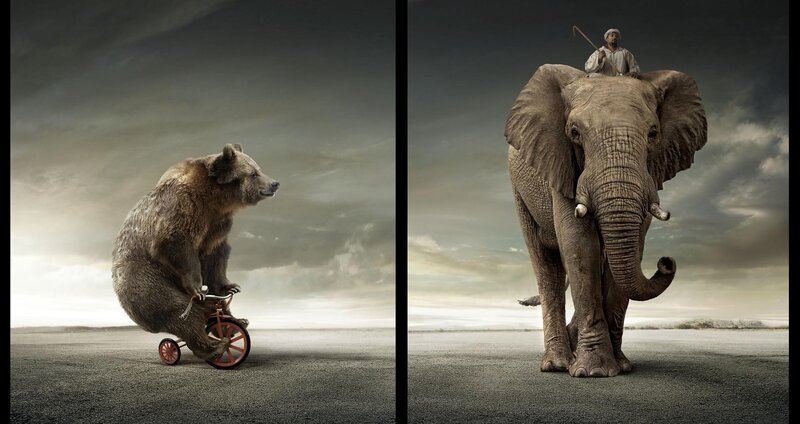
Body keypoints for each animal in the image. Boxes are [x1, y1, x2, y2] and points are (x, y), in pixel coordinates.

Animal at [112, 143, 279, 360]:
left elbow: (216, 255)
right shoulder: (182, 207)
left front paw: (230, 287)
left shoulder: (216, 224)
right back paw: (213, 346)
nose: (275, 183)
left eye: (258, 169)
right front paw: (198, 287)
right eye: (253, 173)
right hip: (145, 279)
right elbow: (175, 242)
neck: (215, 199)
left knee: (210, 308)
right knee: (180, 311)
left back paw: (235, 322)